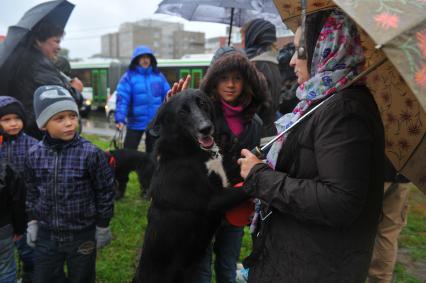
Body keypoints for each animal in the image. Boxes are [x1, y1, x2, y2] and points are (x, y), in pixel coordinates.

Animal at [135, 90, 248, 283]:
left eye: (203, 104)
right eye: (182, 112)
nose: (206, 128)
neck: (189, 152)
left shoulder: (226, 181)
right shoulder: (212, 201)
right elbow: (245, 188)